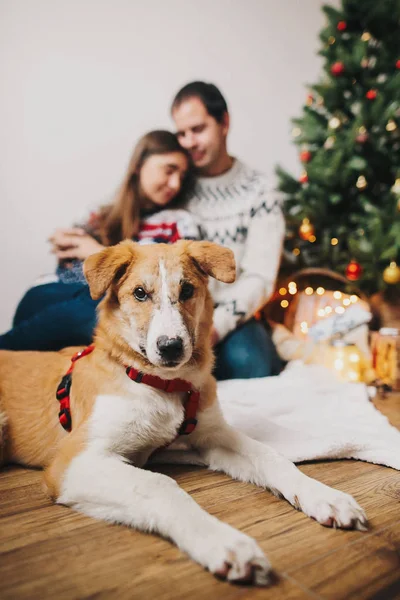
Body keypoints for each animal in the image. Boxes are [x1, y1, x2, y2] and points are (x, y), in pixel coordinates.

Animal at [0, 239, 368, 584]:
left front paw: (324, 496)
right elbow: (160, 485)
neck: (160, 385)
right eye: (139, 293)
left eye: (187, 290)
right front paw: (222, 542)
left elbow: (271, 456)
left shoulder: (211, 435)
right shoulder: (73, 462)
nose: (171, 347)